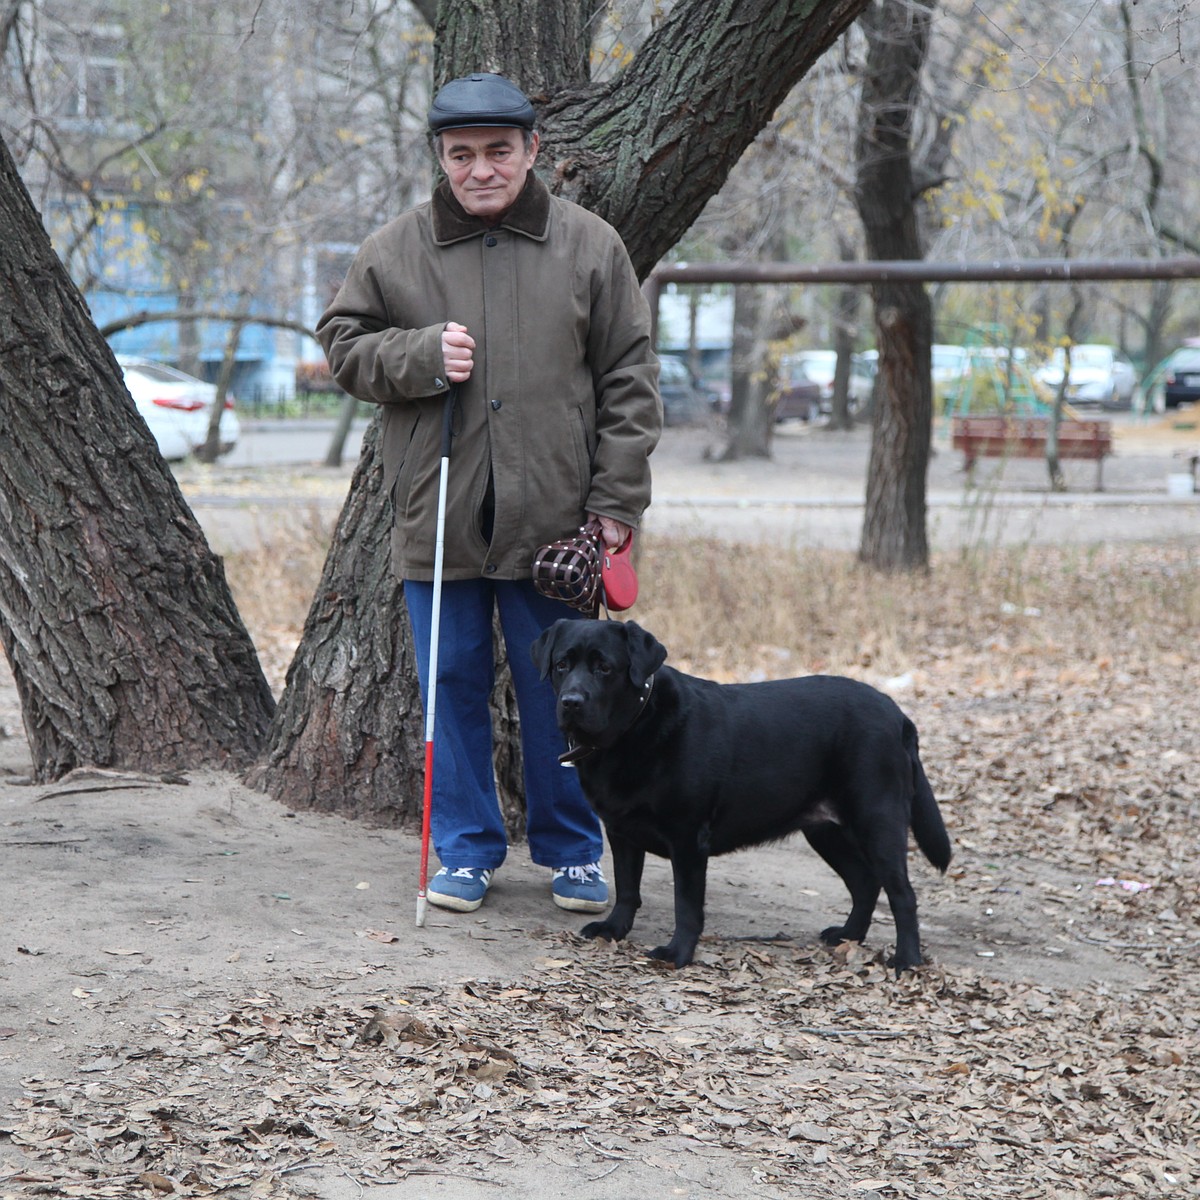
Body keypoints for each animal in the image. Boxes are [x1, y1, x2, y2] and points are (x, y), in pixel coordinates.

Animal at [530, 619, 950, 974]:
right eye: (562, 664)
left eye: (605, 668)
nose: (571, 702)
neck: (633, 729)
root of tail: (897, 715)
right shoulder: (621, 831)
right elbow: (627, 888)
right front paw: (614, 930)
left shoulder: (688, 838)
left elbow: (686, 905)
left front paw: (677, 953)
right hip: (825, 829)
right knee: (865, 883)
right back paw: (848, 936)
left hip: (877, 819)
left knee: (902, 894)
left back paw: (907, 960)